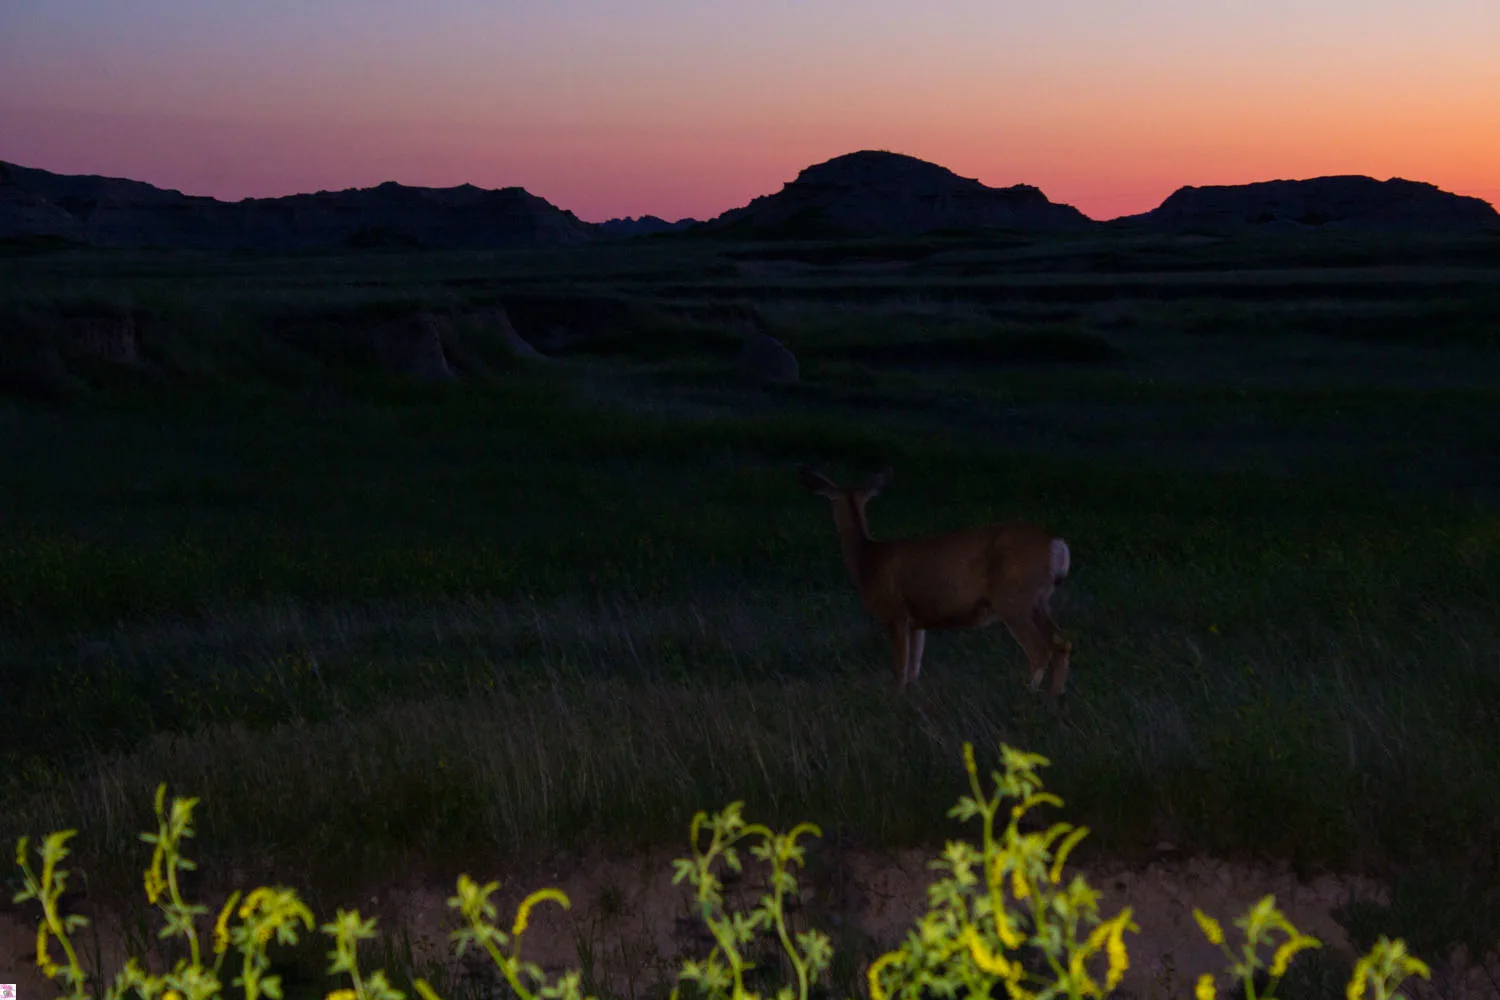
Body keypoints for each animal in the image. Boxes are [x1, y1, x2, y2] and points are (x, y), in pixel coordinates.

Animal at [804, 464, 1074, 701]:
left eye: (830, 501)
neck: (867, 560)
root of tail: (1055, 544)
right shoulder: (917, 622)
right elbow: (914, 666)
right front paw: (911, 695)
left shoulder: (895, 612)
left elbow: (900, 668)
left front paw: (897, 698)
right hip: (1038, 601)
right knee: (1062, 642)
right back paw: (1055, 696)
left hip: (1013, 600)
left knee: (1040, 650)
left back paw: (1029, 694)